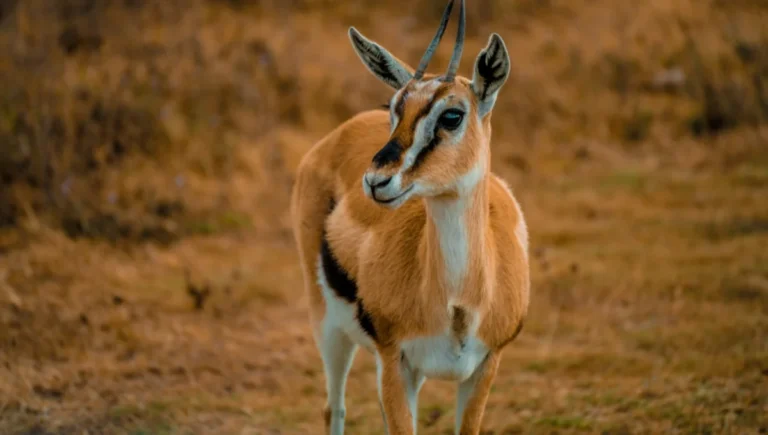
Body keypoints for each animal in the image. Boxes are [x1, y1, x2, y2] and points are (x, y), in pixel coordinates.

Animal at [290, 0, 529, 433]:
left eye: (452, 115)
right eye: (395, 109)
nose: (376, 181)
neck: (458, 303)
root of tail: (337, 135)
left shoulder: (485, 367)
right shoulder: (393, 362)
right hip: (329, 329)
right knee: (334, 408)